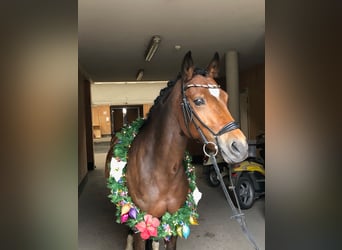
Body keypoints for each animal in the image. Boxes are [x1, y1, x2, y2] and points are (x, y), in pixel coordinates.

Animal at [105, 51, 247, 250]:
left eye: (226, 98)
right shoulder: (140, 223)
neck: (161, 171)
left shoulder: (173, 222)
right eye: (198, 101)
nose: (240, 146)